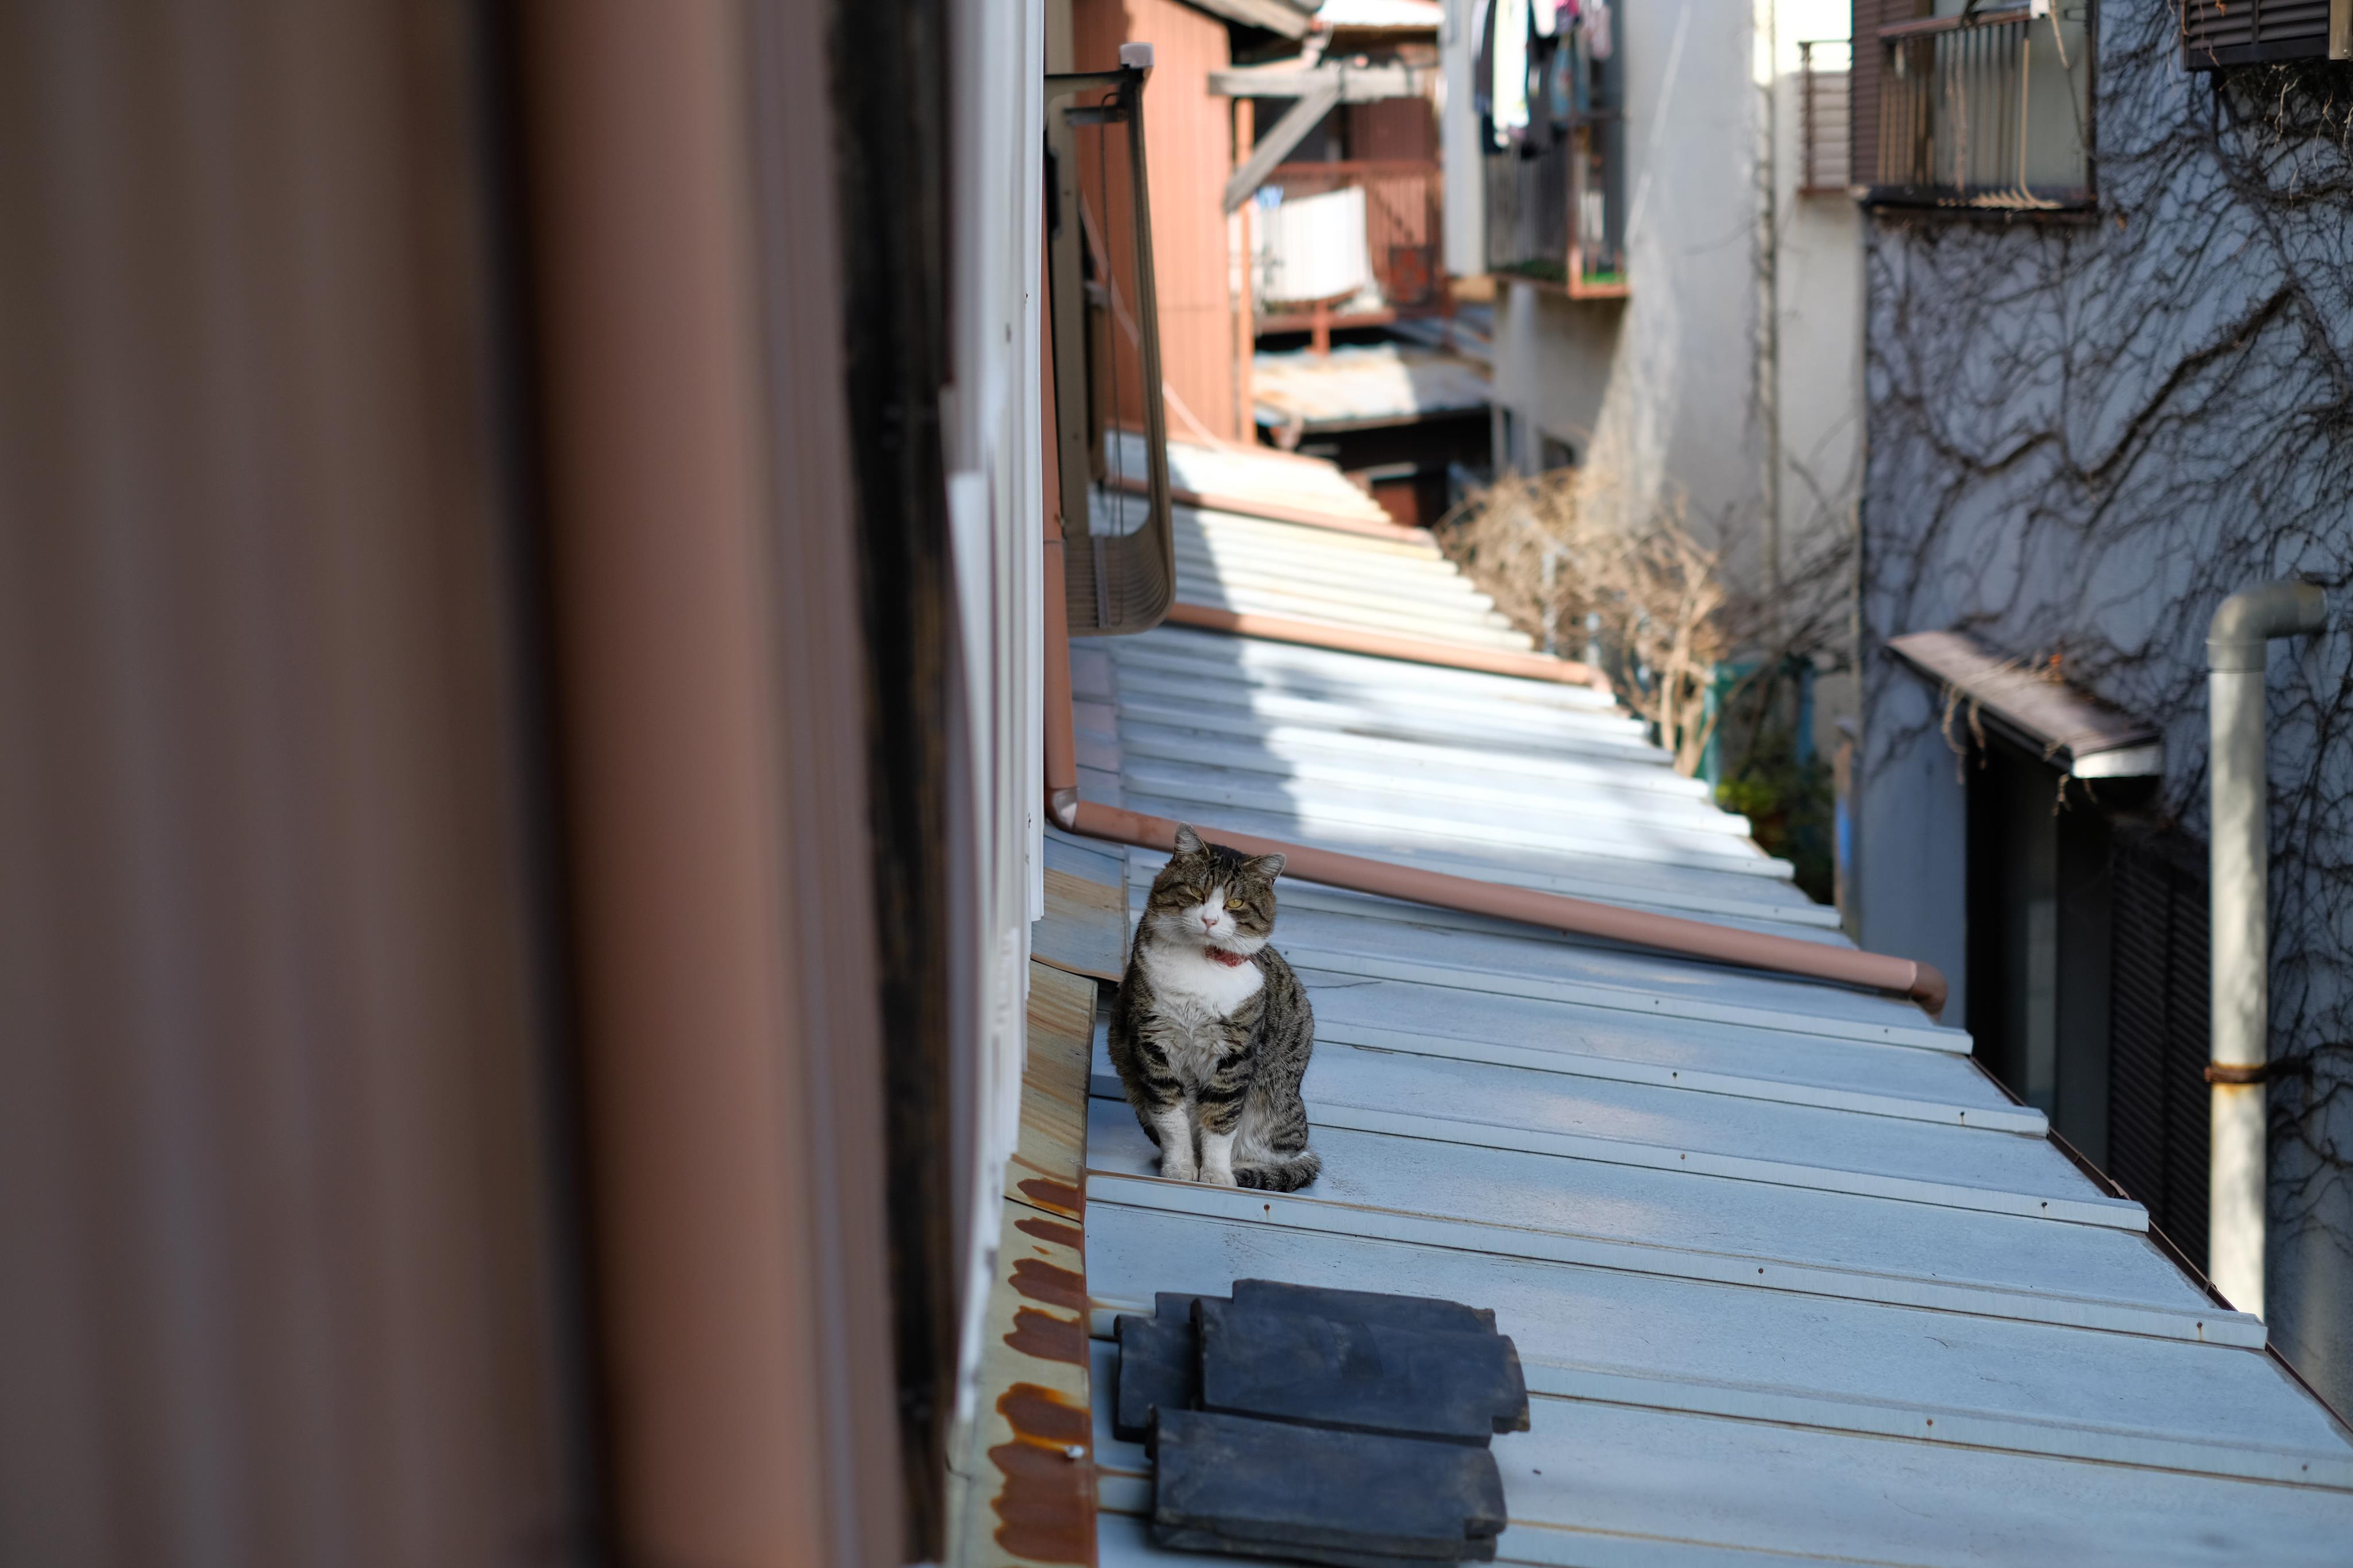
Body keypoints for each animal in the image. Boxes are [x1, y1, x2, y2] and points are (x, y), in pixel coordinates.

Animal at [1106, 822, 1327, 1189]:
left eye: (1235, 902)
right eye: (1196, 892)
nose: (1210, 920)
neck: (1201, 963)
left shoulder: (1234, 1052)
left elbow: (1221, 1120)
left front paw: (1217, 1176)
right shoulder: (1154, 1040)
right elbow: (1171, 1118)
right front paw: (1180, 1168)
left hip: (1274, 1109)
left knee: (1287, 1155)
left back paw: (1245, 1169)